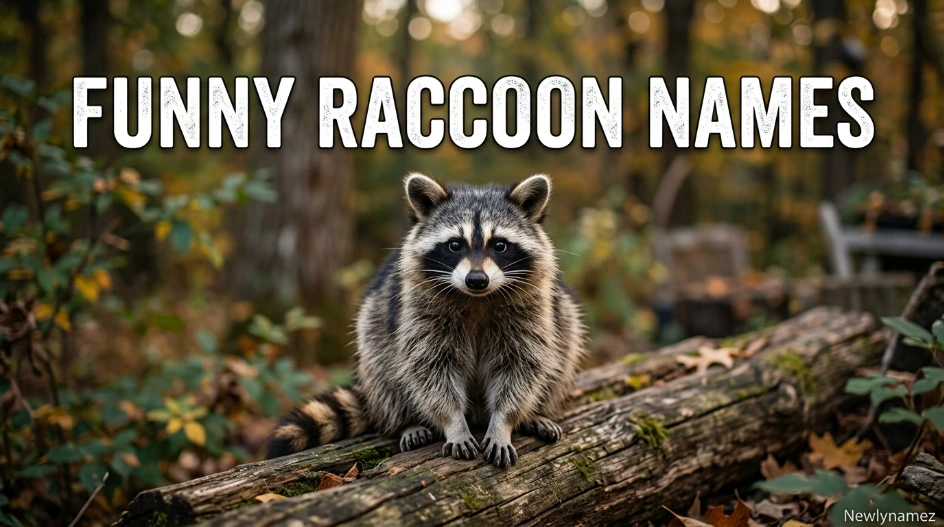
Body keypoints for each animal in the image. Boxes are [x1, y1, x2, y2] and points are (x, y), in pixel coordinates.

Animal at [267, 174, 586, 468]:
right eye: (455, 245)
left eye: (499, 245)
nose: (477, 280)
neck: (477, 299)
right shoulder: (417, 310)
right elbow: (430, 369)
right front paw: (454, 423)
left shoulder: (532, 310)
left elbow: (521, 366)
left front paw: (503, 423)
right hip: (375, 323)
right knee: (383, 368)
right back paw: (406, 422)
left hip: (562, 314)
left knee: (565, 345)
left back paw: (537, 413)